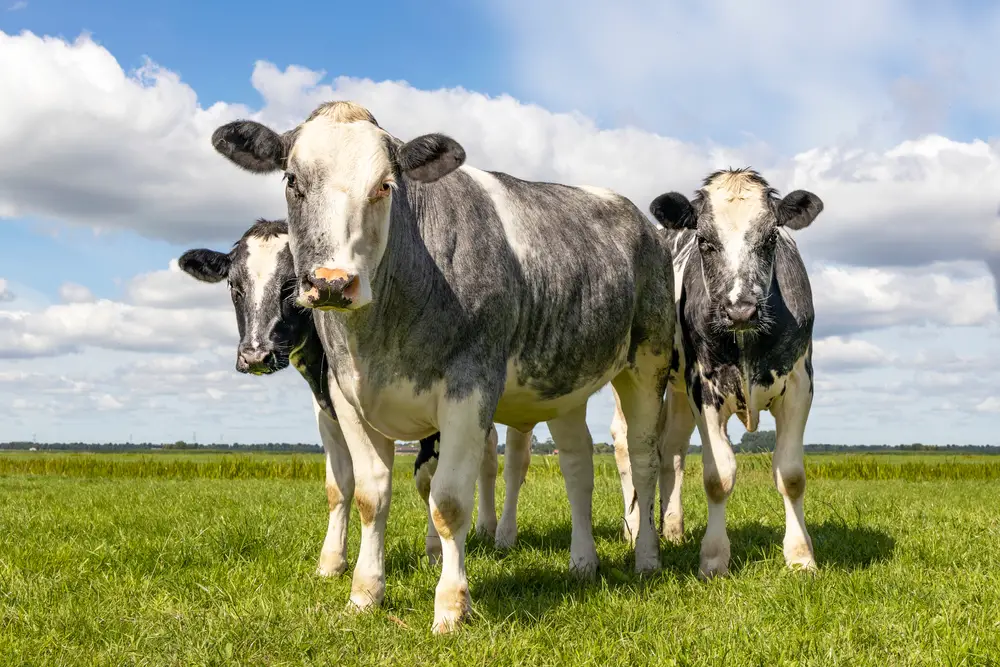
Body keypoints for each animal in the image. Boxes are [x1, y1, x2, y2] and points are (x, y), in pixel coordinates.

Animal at [174, 219, 508, 576]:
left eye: (291, 285)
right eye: (234, 287)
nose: (255, 356)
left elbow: (429, 481)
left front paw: (435, 554)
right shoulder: (329, 411)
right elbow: (339, 485)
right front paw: (331, 561)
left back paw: (492, 529)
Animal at [209, 102, 680, 636]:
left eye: (385, 185)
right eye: (292, 179)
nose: (332, 283)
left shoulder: (467, 391)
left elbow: (449, 501)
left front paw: (452, 605)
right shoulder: (347, 400)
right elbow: (370, 495)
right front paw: (364, 593)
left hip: (648, 362)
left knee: (643, 459)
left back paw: (646, 557)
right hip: (566, 385)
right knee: (577, 466)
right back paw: (583, 562)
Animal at [616, 170, 820, 580]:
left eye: (770, 238)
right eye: (705, 242)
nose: (740, 309)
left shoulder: (799, 385)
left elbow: (791, 476)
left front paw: (801, 556)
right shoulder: (704, 387)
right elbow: (718, 477)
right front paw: (713, 558)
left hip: (676, 391)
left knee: (671, 450)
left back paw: (672, 528)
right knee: (626, 444)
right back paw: (634, 530)